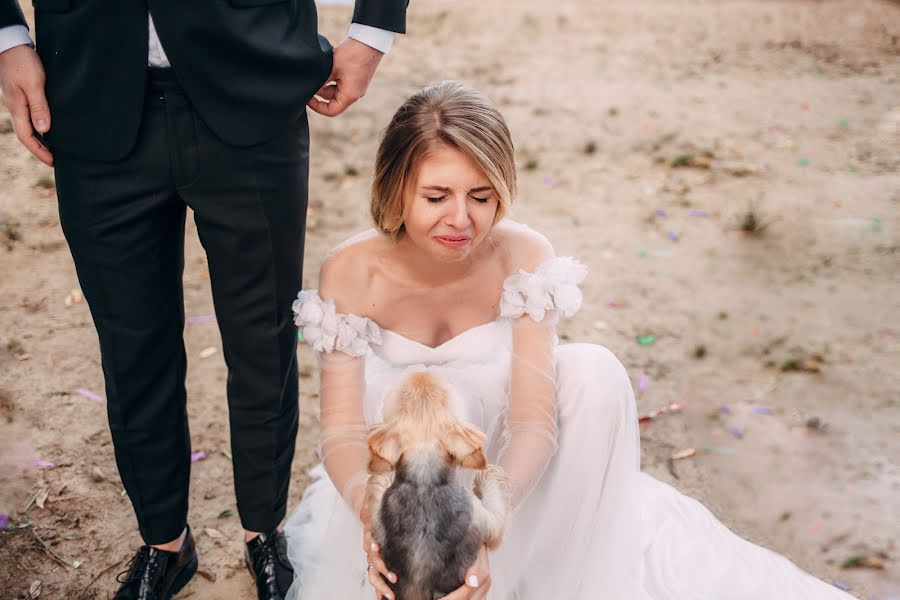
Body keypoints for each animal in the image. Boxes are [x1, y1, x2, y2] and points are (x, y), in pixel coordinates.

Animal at [362, 370, 510, 600]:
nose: (421, 371)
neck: (424, 476)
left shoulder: (380, 516)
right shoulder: (484, 520)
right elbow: (496, 512)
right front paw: (488, 473)